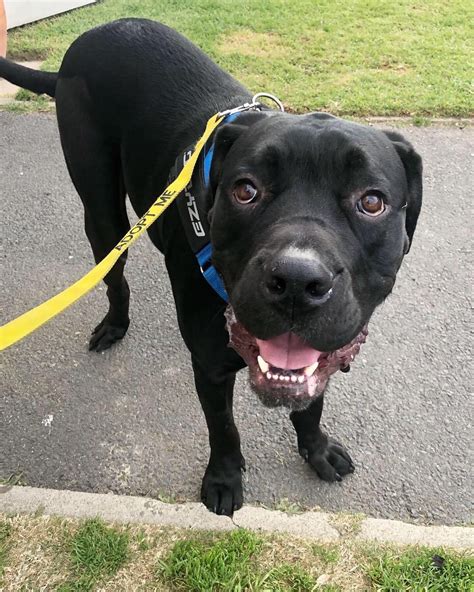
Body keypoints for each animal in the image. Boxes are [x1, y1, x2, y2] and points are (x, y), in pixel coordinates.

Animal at [0, 18, 422, 512]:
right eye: (245, 190)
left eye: (371, 202)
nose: (297, 280)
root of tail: (90, 37)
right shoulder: (209, 367)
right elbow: (223, 428)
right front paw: (223, 478)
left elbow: (311, 401)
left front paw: (316, 448)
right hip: (102, 209)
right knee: (113, 273)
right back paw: (114, 324)